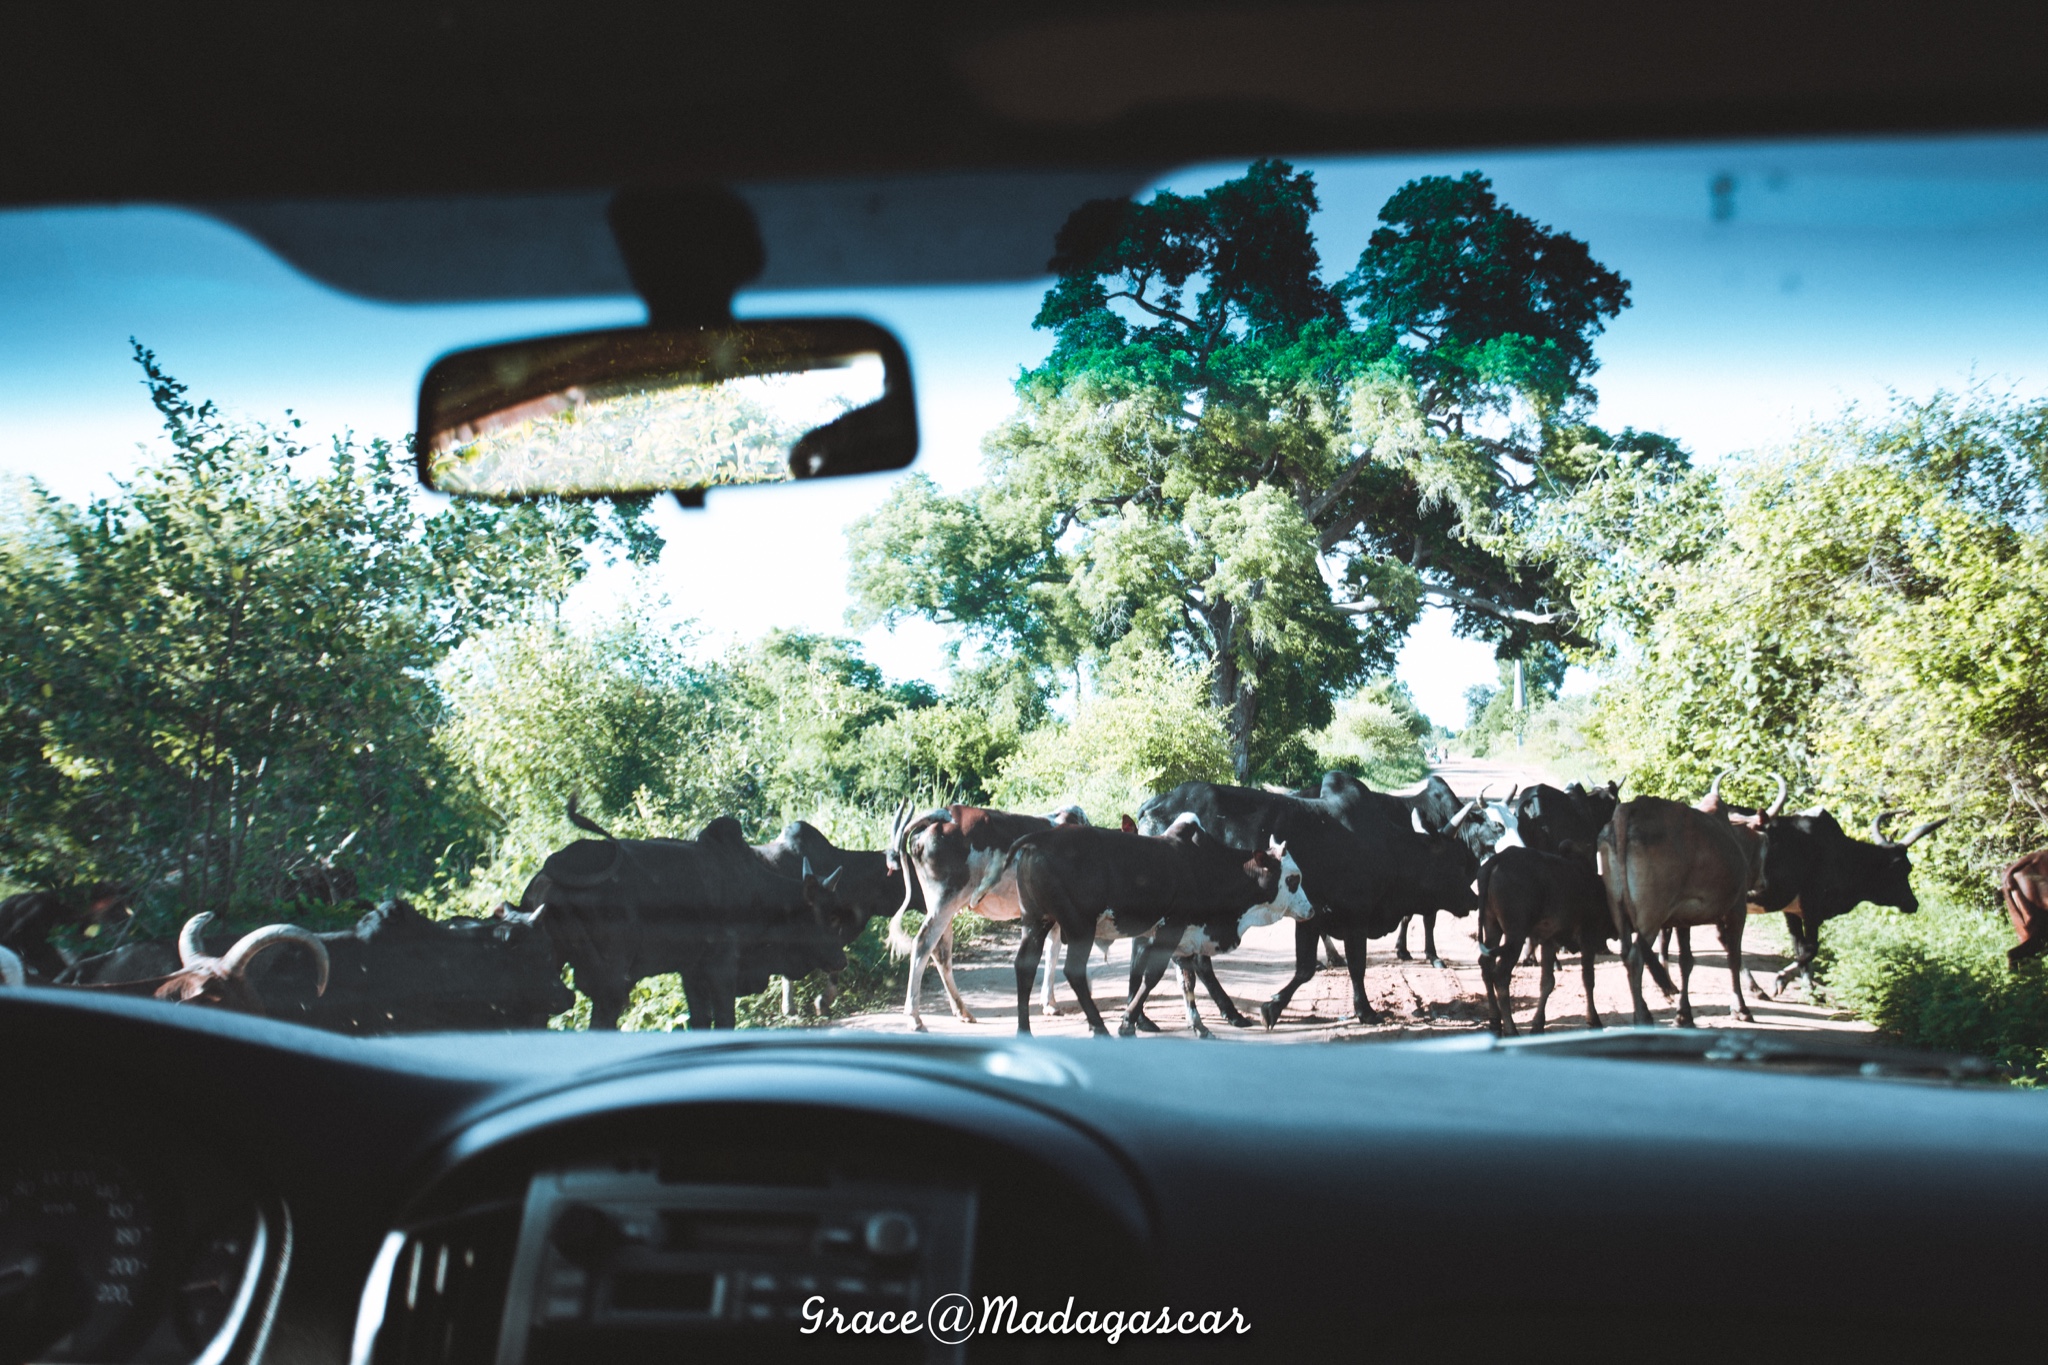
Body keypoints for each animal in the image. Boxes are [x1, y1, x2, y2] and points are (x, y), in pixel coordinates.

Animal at [1753, 806, 1941, 998]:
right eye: (1904, 868)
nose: (1913, 903)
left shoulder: (1792, 912)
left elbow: (1799, 946)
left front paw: (1807, 986)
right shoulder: (1812, 909)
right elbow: (1811, 949)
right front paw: (1782, 978)